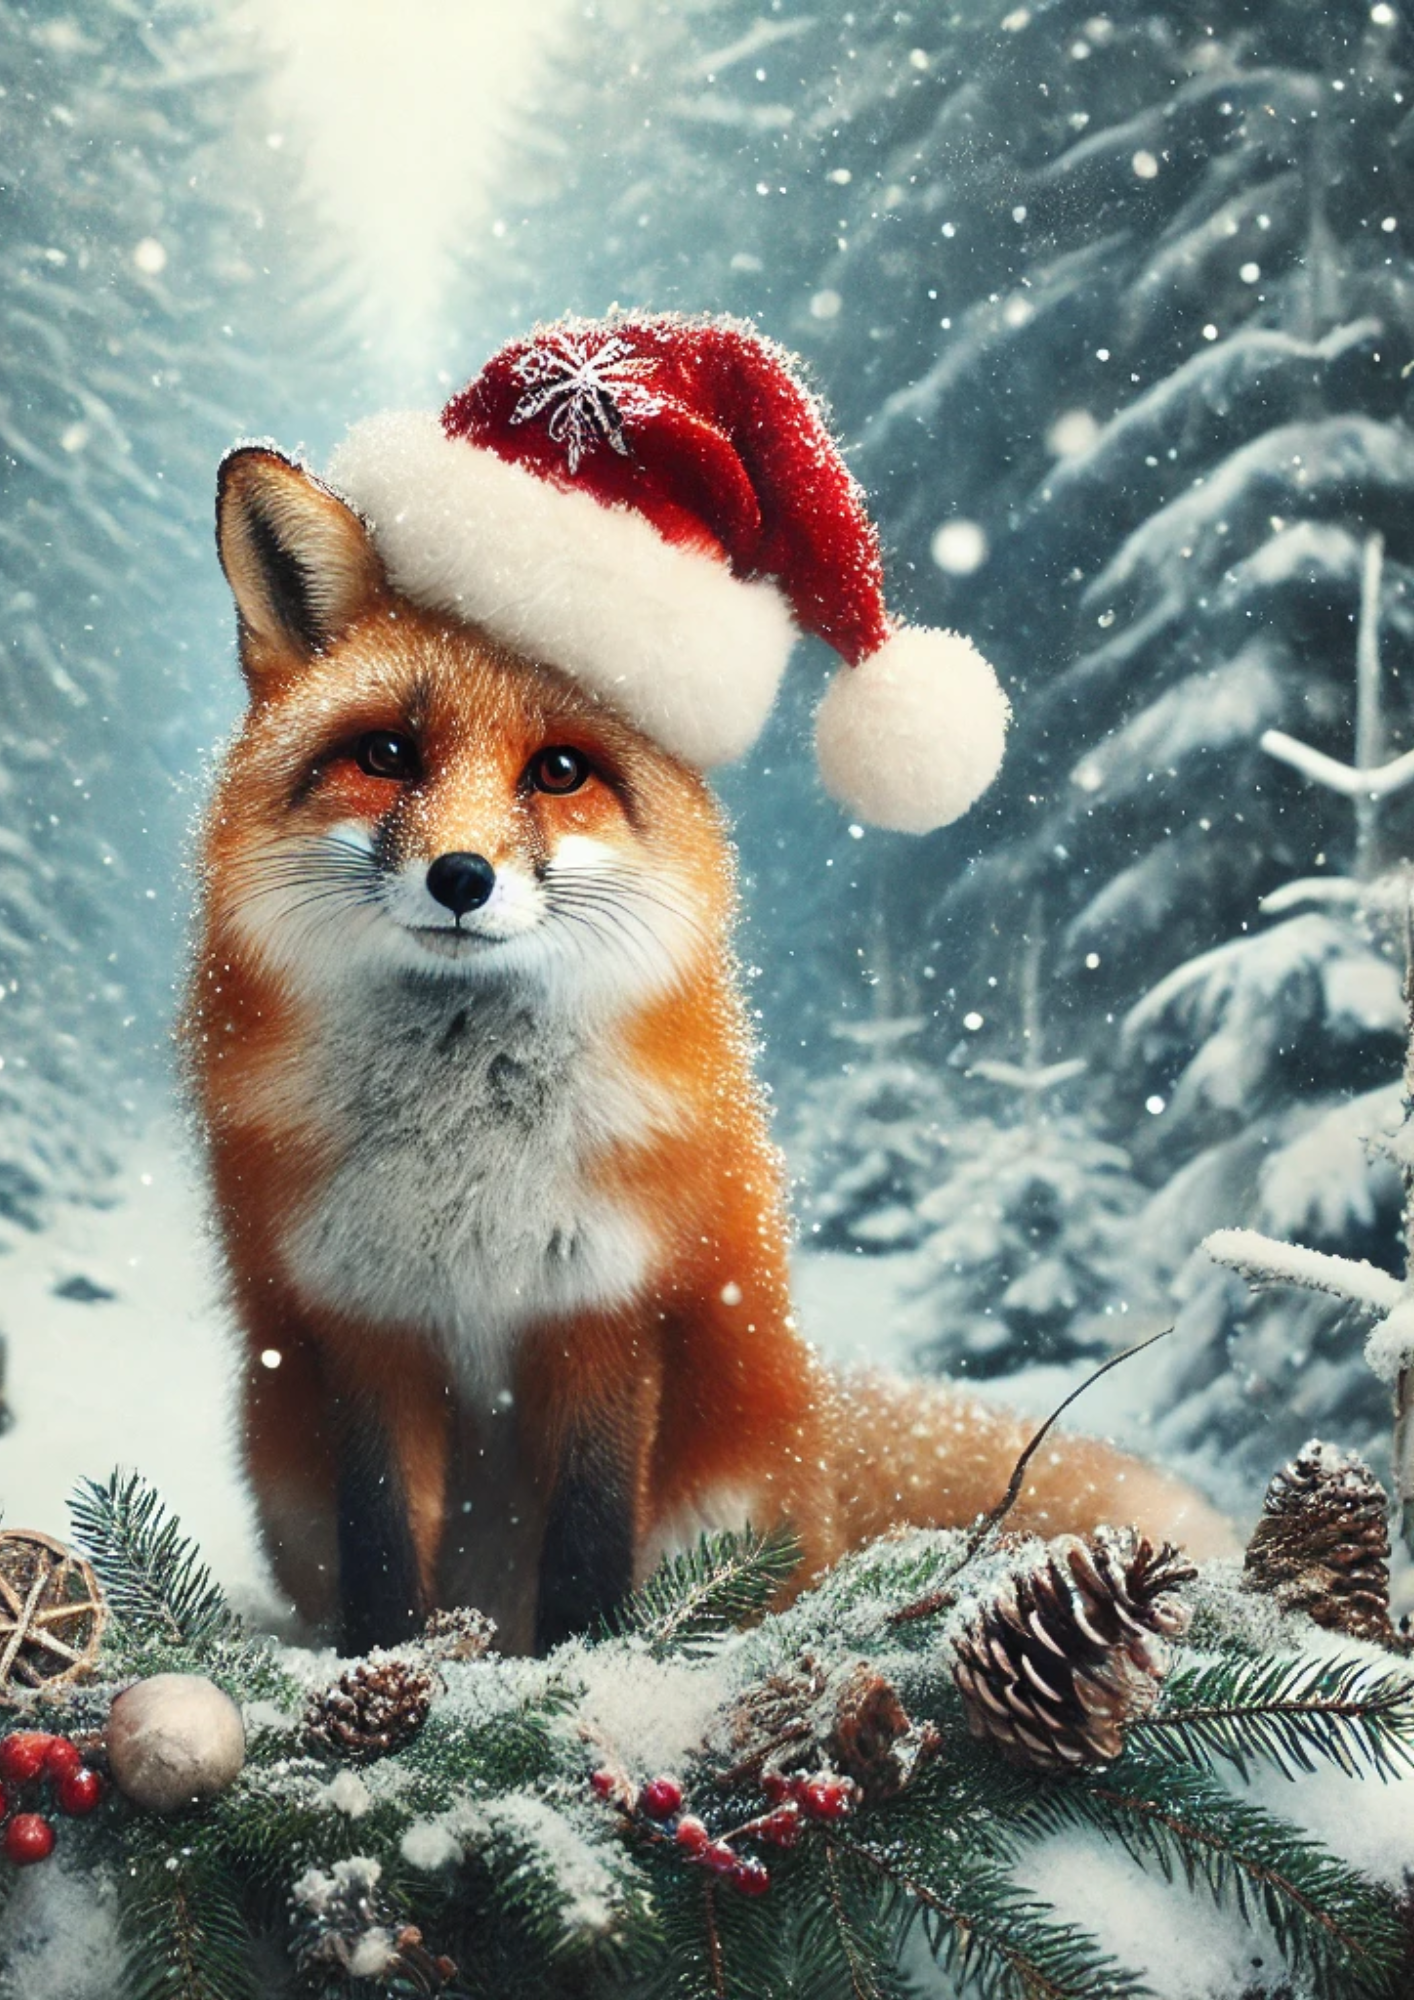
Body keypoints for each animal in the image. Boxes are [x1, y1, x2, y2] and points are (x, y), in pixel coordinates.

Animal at [186, 442, 1230, 1657]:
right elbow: (388, 1550)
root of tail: (820, 1452)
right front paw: (396, 1670)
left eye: (559, 772)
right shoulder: (358, 1323)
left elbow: (589, 1542)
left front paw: (579, 1670)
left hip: (728, 1480)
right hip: (278, 1459)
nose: (461, 877)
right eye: (387, 754)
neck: (469, 1161)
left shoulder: (612, 1310)